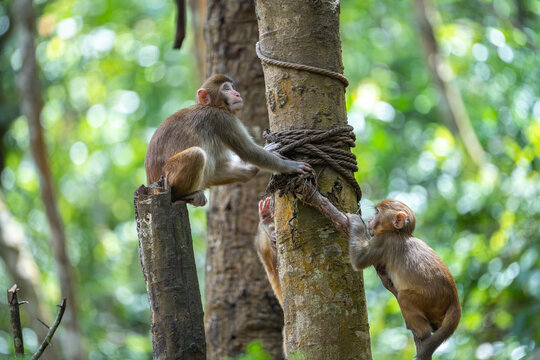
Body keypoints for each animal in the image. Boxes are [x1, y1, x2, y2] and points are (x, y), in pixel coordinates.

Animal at [144, 74, 312, 207]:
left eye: (232, 87)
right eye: (226, 88)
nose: (237, 94)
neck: (214, 106)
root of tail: (151, 182)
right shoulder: (222, 119)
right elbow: (248, 151)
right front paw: (290, 166)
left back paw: (250, 170)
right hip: (168, 177)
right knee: (196, 155)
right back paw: (182, 195)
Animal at [346, 200, 460, 360]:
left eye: (377, 213)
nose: (369, 221)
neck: (400, 233)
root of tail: (455, 300)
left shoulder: (384, 240)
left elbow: (359, 260)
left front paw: (356, 222)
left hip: (430, 301)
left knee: (404, 297)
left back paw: (423, 333)